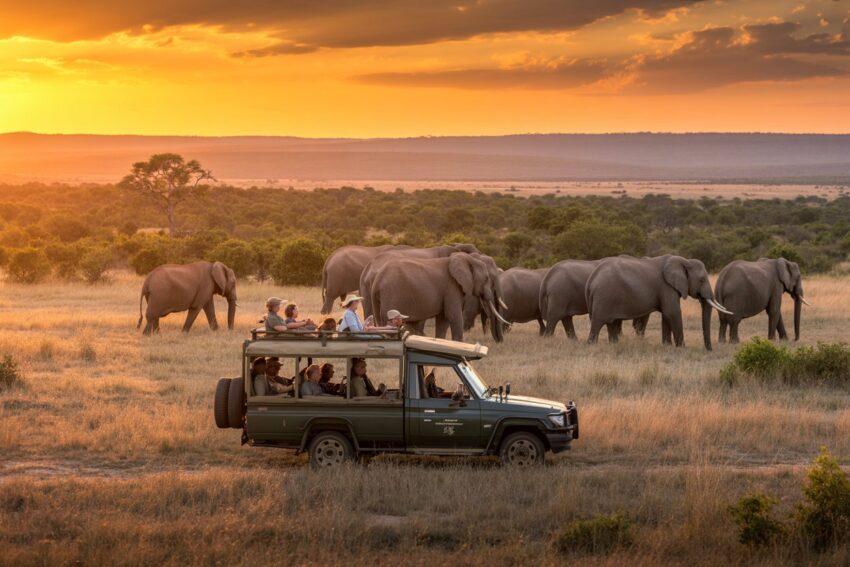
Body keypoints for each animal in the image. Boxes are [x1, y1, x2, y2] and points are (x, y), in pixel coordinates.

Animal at [368, 252, 508, 343]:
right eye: (487, 278)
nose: (500, 342)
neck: (468, 258)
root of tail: (377, 280)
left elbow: (443, 319)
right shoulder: (451, 287)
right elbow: (453, 316)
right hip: (391, 295)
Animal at [585, 255, 732, 350]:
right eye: (702, 280)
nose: (709, 349)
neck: (684, 260)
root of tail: (591, 279)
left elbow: (666, 316)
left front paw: (667, 346)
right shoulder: (666, 287)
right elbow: (672, 313)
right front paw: (682, 348)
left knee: (611, 323)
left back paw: (614, 345)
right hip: (604, 297)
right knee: (598, 323)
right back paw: (592, 346)